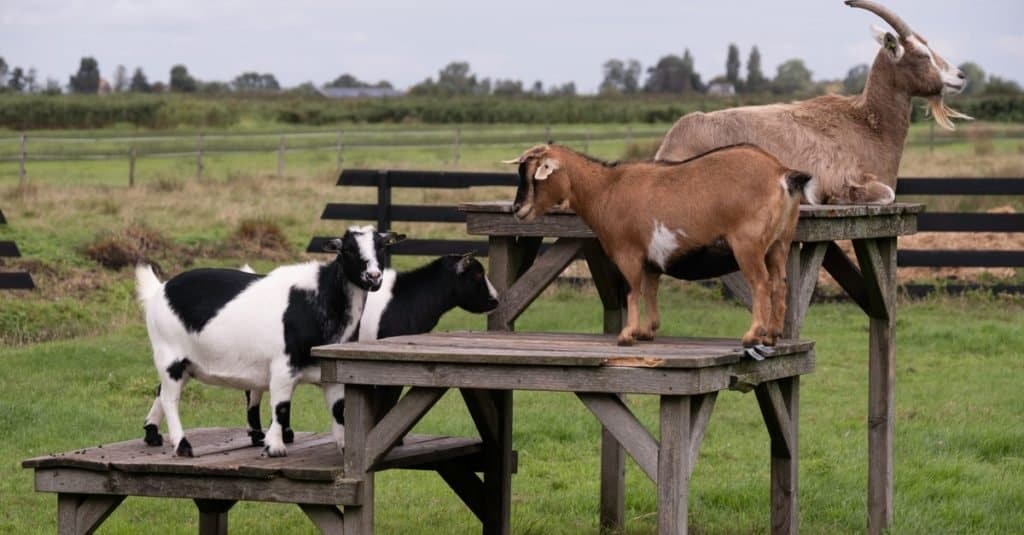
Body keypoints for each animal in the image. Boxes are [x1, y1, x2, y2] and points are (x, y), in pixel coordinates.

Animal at [138, 224, 401, 453]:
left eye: (381, 247)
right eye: (348, 250)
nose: (373, 276)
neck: (320, 299)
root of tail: (159, 290)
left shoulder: (331, 371)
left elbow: (339, 410)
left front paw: (346, 448)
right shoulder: (283, 367)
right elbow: (281, 407)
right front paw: (275, 447)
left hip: (186, 362)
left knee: (161, 391)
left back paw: (152, 434)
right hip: (169, 354)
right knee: (170, 398)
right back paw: (182, 445)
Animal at [507, 143, 811, 348]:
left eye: (535, 175)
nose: (517, 209)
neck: (606, 190)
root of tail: (781, 172)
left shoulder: (628, 253)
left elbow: (633, 290)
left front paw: (627, 334)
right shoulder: (652, 260)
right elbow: (650, 290)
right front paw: (648, 330)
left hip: (748, 245)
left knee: (760, 283)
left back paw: (752, 335)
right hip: (780, 243)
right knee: (780, 283)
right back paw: (772, 335)